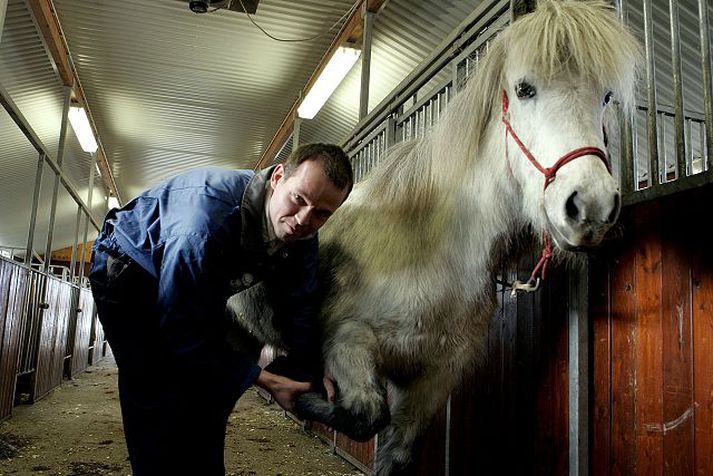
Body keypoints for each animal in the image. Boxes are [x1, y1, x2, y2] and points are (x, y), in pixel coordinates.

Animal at [228, 1, 640, 474]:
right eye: (524, 89)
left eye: (605, 96)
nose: (590, 205)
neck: (432, 249)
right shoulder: (349, 340)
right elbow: (366, 414)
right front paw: (298, 392)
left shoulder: (434, 377)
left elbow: (394, 450)